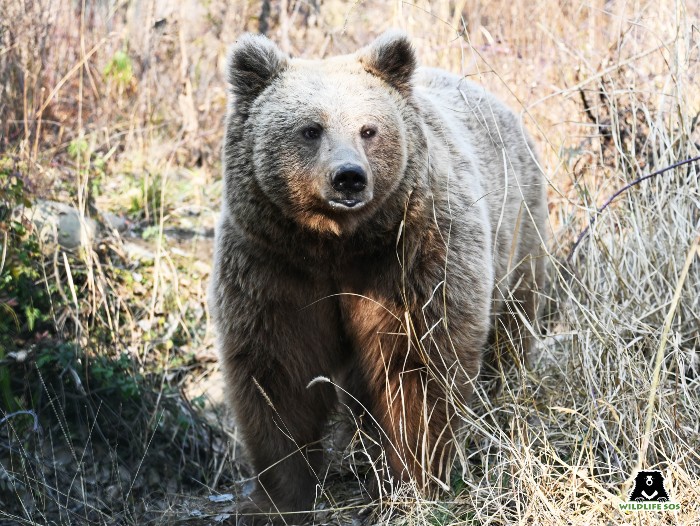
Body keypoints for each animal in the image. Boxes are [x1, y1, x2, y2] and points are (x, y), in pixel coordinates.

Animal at [211, 31, 548, 524]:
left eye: (369, 129)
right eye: (311, 129)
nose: (348, 177)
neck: (334, 244)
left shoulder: (411, 257)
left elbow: (418, 367)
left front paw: (413, 483)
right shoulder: (272, 268)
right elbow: (278, 375)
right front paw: (277, 500)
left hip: (520, 230)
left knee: (512, 327)